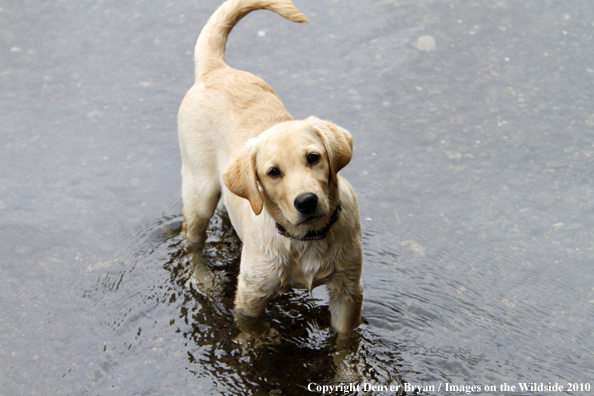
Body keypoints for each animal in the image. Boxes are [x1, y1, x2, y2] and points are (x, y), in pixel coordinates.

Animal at [176, 0, 360, 334]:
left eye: (314, 158)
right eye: (273, 172)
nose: (307, 201)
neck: (306, 238)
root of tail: (217, 69)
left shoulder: (348, 290)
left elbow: (344, 339)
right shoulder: (250, 297)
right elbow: (253, 334)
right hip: (199, 189)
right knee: (191, 240)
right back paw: (203, 279)